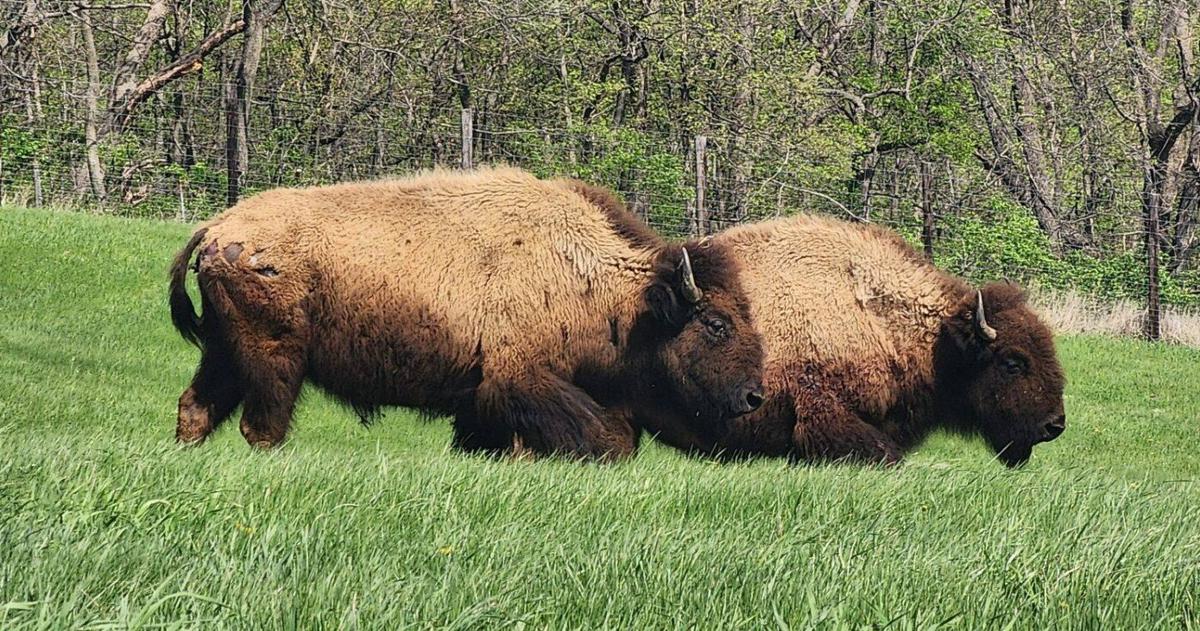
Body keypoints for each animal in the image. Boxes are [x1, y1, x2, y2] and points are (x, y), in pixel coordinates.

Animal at [169, 167, 764, 459]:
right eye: (716, 324)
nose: (754, 396)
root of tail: (219, 226)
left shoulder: (486, 396)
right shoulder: (521, 379)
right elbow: (597, 438)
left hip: (224, 353)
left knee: (196, 408)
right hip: (276, 360)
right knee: (261, 425)